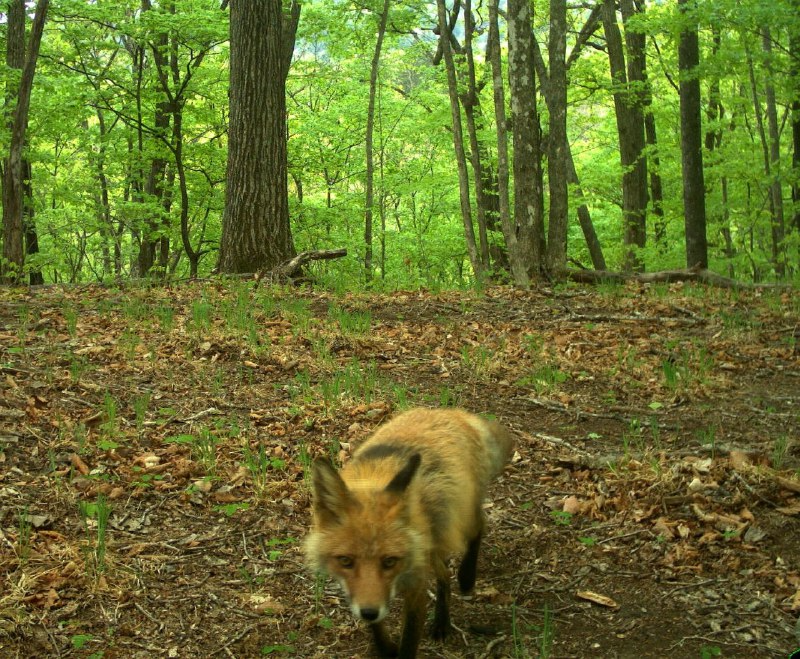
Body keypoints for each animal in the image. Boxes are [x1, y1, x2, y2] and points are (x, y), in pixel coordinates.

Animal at [306, 408, 512, 659]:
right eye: (345, 561)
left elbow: (409, 642)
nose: (369, 612)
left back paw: (465, 579)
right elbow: (377, 627)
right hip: (433, 542)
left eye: (389, 561)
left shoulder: (416, 587)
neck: (375, 481)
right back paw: (442, 621)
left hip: (459, 518)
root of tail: (450, 411)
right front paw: (385, 648)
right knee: (444, 574)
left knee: (480, 526)